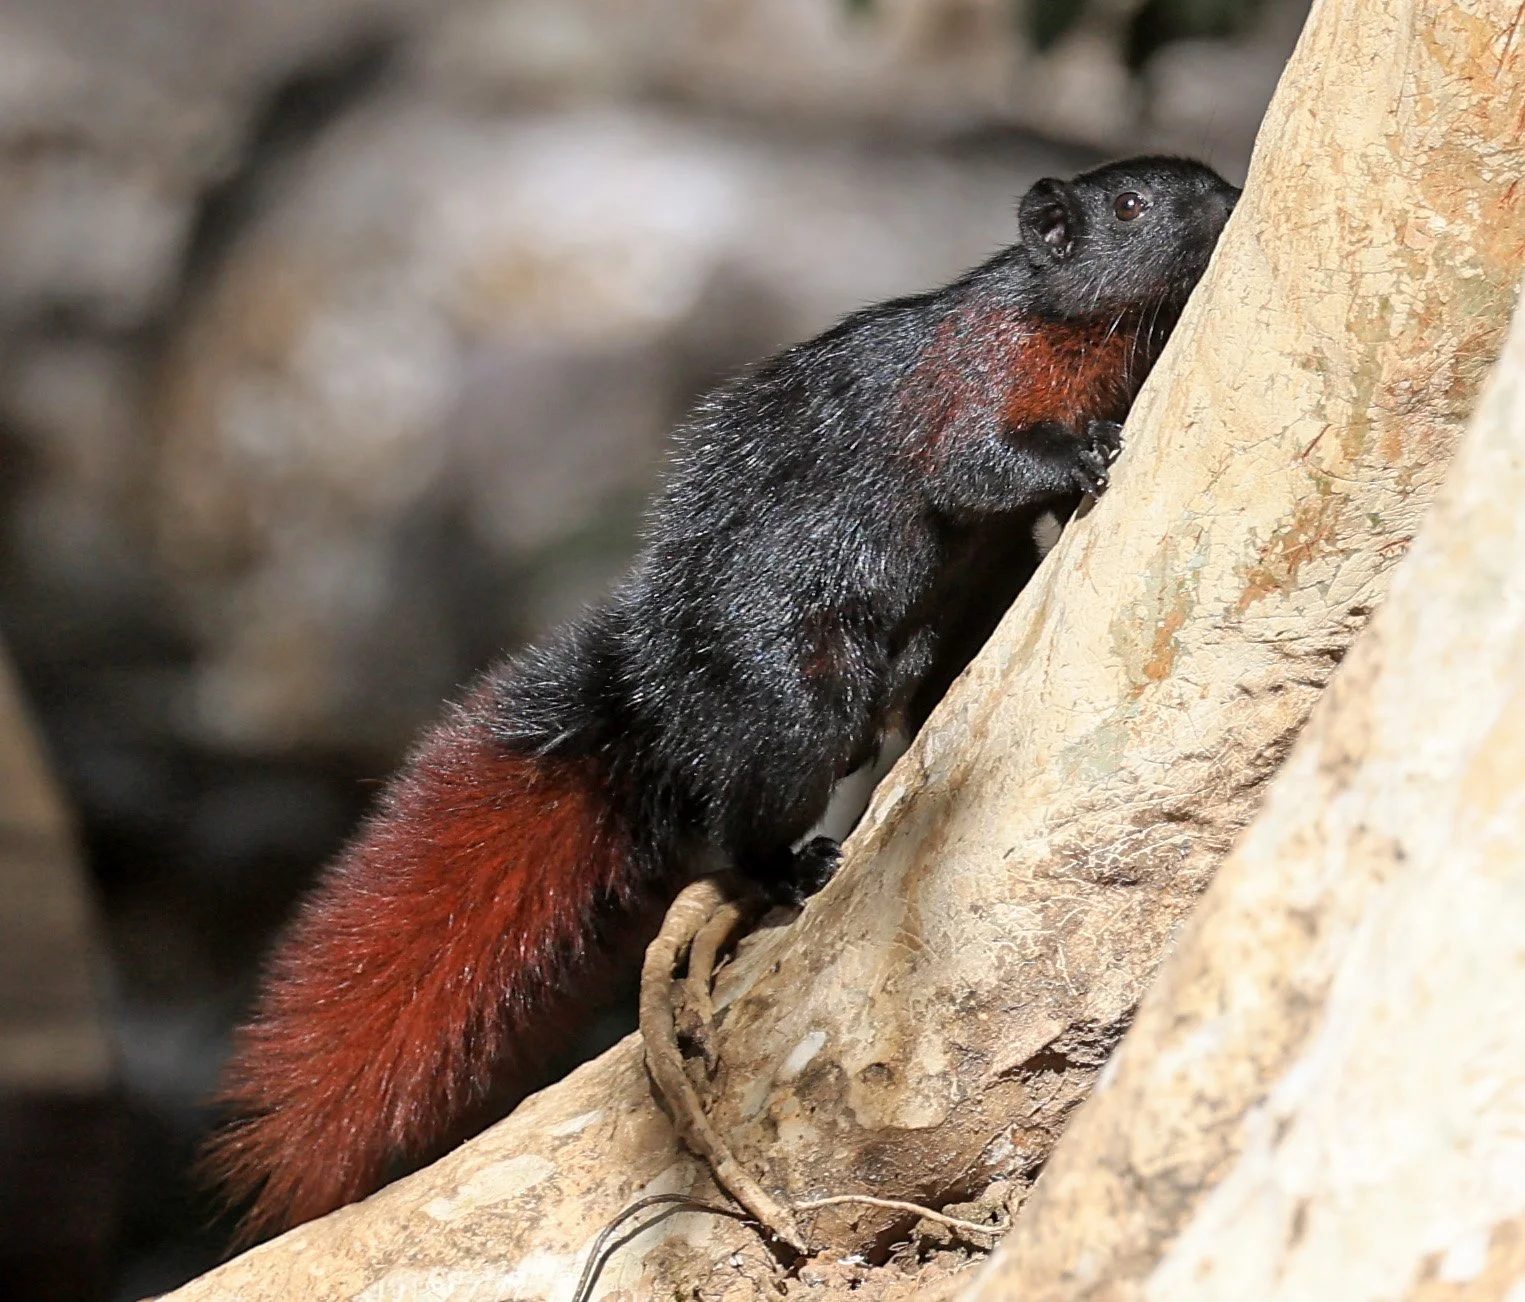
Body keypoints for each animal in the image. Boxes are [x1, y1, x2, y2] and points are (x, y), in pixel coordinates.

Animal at [201, 156, 1238, 1242]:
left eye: (1202, 177)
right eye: (1128, 205)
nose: (1222, 199)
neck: (1063, 324)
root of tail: (654, 700)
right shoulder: (971, 387)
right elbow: (979, 468)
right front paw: (1085, 456)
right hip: (798, 703)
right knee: (736, 828)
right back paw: (795, 865)